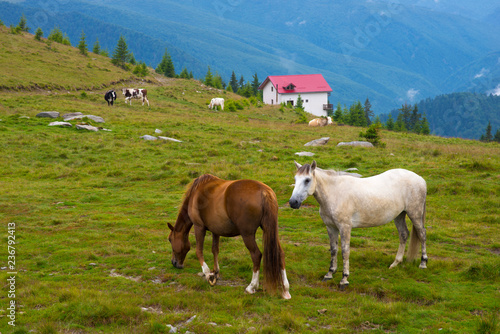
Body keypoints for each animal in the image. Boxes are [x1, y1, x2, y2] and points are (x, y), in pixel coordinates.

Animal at [292, 161, 428, 288]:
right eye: (295, 179)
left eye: (307, 180)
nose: (293, 202)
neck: (335, 193)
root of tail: (420, 179)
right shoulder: (331, 227)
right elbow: (333, 250)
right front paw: (329, 274)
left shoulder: (345, 227)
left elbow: (345, 251)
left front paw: (344, 279)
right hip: (399, 215)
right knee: (403, 234)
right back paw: (395, 263)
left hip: (415, 214)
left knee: (422, 234)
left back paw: (423, 263)